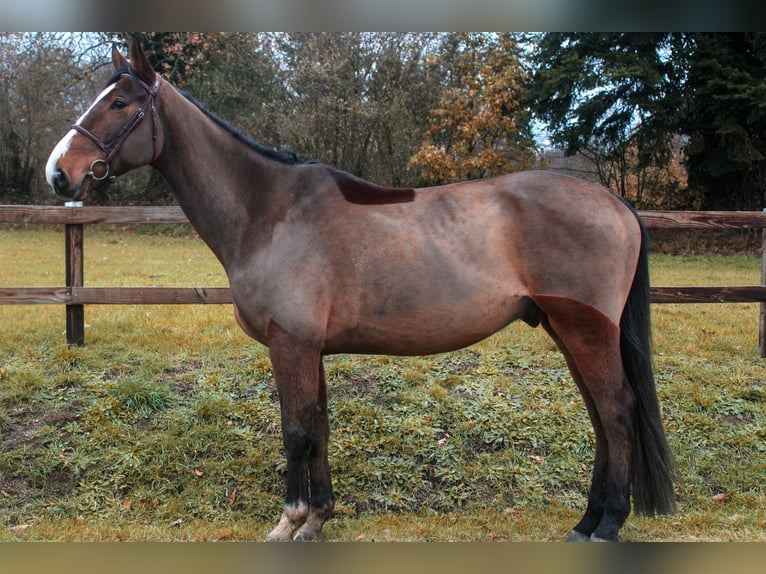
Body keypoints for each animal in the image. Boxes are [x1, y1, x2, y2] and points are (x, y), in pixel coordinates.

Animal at [45, 39, 675, 542]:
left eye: (120, 103)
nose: (58, 173)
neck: (268, 211)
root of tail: (617, 203)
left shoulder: (291, 345)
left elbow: (296, 433)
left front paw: (289, 521)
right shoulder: (311, 349)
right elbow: (320, 427)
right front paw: (319, 519)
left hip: (586, 329)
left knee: (616, 412)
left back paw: (609, 524)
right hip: (566, 329)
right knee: (600, 415)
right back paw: (586, 521)